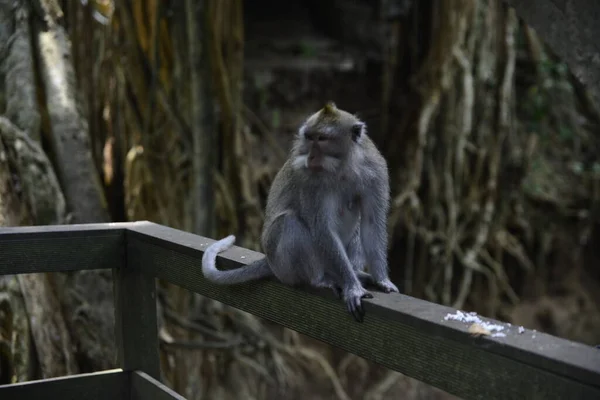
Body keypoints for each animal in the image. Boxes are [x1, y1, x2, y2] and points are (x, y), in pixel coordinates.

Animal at [203, 102, 398, 322]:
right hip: (283, 265)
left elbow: (371, 224)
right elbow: (322, 230)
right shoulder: (310, 179)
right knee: (290, 222)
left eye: (322, 138)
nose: (311, 156)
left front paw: (382, 279)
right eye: (309, 137)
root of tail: (270, 262)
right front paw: (352, 287)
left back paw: (356, 272)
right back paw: (320, 279)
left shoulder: (375, 171)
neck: (343, 166)